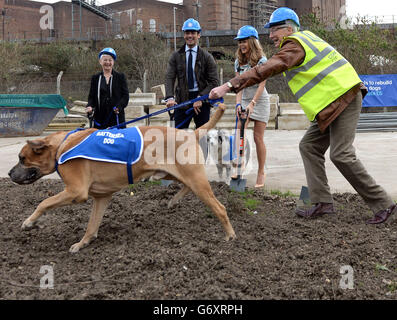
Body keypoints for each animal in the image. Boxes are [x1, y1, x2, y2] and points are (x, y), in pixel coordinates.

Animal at [8, 104, 235, 252]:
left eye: (21, 158)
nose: (9, 173)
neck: (61, 146)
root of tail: (189, 134)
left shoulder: (75, 191)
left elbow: (44, 202)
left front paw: (29, 222)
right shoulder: (101, 197)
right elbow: (92, 225)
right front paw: (83, 242)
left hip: (195, 180)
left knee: (220, 208)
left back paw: (230, 235)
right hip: (177, 175)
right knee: (186, 187)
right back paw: (174, 200)